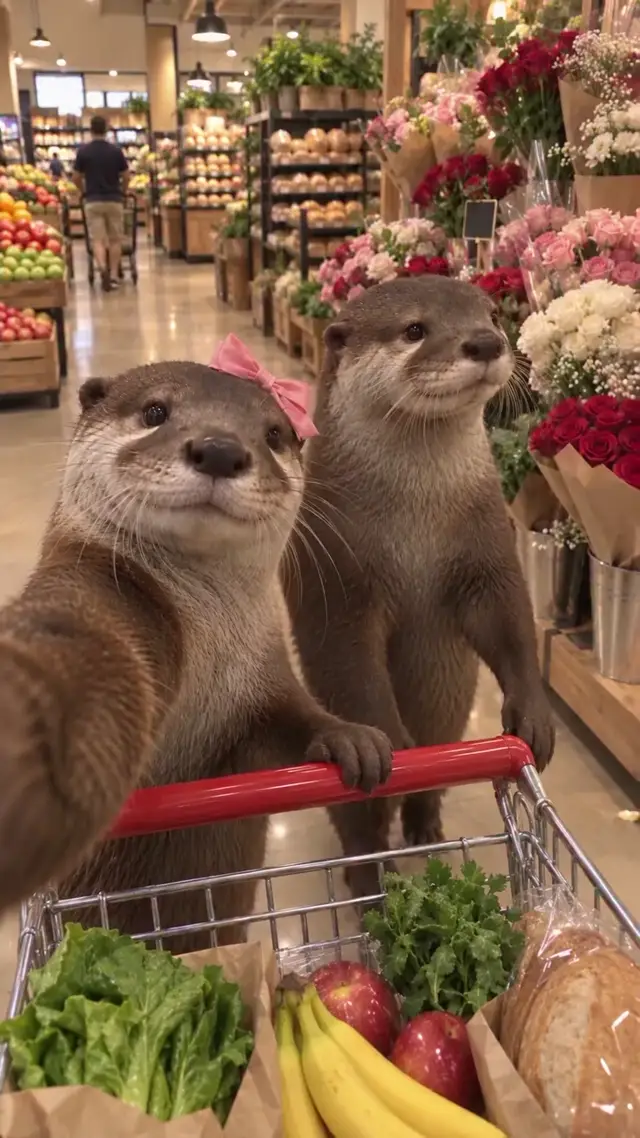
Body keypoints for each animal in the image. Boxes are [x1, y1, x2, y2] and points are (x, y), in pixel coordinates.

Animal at [0, 350, 391, 946]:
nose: (221, 449)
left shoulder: (259, 684)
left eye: (273, 434)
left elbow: (295, 716)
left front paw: (352, 738)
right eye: (155, 411)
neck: (211, 636)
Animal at [284, 277, 555, 898]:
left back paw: (426, 829)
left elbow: (510, 622)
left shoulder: (488, 547)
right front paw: (391, 741)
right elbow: (350, 661)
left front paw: (533, 712)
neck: (415, 526)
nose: (485, 342)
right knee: (360, 826)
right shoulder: (332, 572)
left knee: (430, 791)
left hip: (452, 733)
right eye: (414, 329)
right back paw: (368, 882)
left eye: (489, 316)